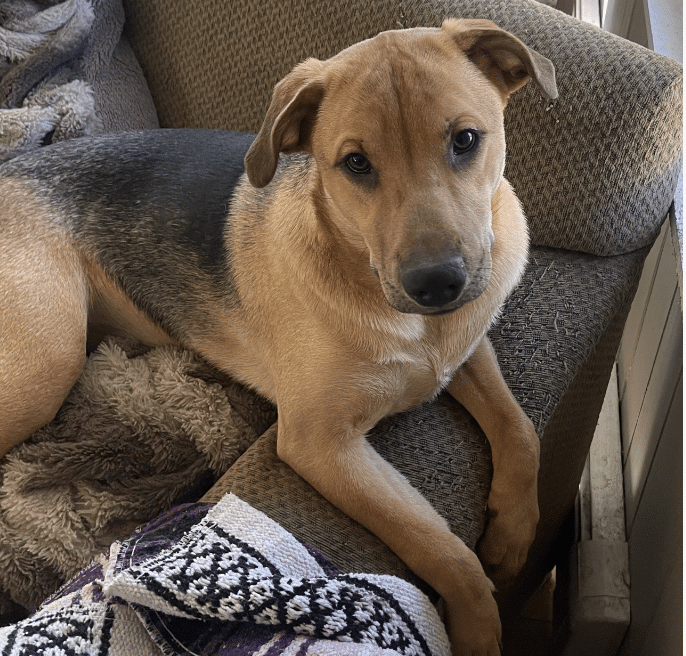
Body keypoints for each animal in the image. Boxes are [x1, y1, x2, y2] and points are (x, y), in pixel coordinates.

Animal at [0, 19, 556, 656]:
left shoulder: (464, 348)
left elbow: (520, 430)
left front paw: (514, 533)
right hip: (46, 366)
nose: (437, 283)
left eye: (466, 139)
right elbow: (438, 544)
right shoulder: (321, 444)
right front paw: (478, 624)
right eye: (356, 164)